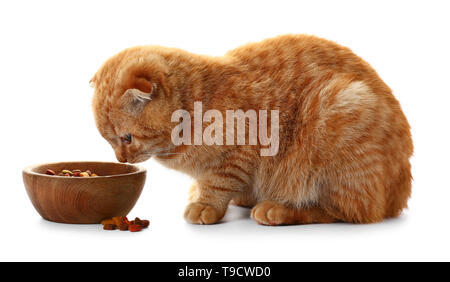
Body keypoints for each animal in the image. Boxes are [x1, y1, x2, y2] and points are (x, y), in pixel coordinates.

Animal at [90, 34, 412, 225]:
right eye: (108, 141)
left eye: (126, 138)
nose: (121, 160)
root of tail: (399, 194)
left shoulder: (240, 151)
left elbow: (217, 183)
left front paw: (205, 204)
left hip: (341, 109)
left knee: (347, 211)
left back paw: (277, 209)